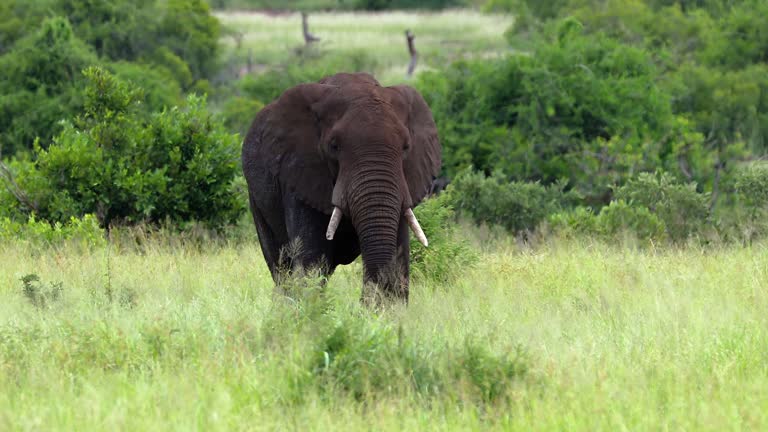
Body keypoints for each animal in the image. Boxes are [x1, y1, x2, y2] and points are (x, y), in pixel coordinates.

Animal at [241, 72, 441, 302]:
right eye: (334, 146)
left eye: (406, 147)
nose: (362, 302)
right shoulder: (300, 174)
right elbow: (312, 260)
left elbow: (398, 257)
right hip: (256, 197)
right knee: (281, 266)